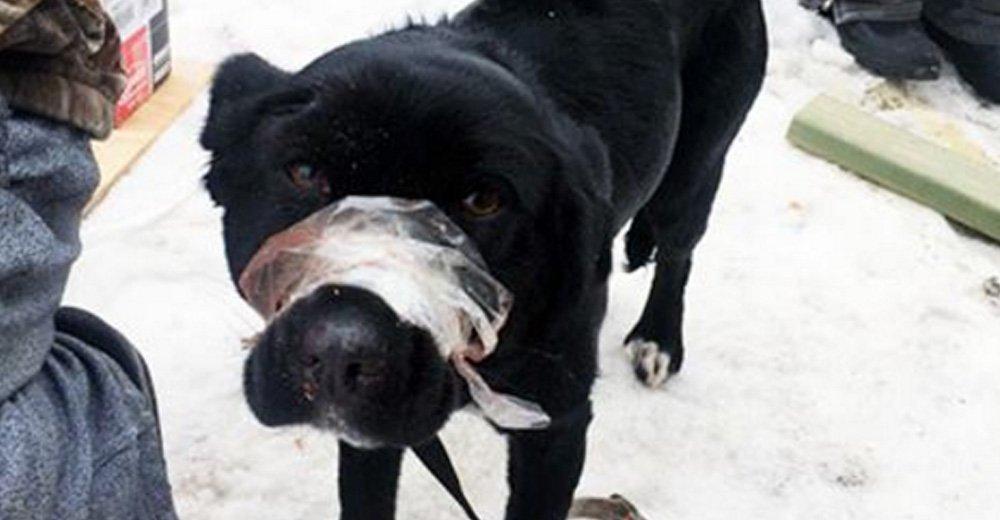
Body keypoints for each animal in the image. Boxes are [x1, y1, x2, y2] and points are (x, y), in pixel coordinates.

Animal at [201, 0, 767, 518]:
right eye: (304, 172)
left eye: (484, 200)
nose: (340, 351)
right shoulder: (372, 433)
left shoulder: (557, 427)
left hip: (694, 170)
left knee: (678, 254)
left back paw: (659, 339)